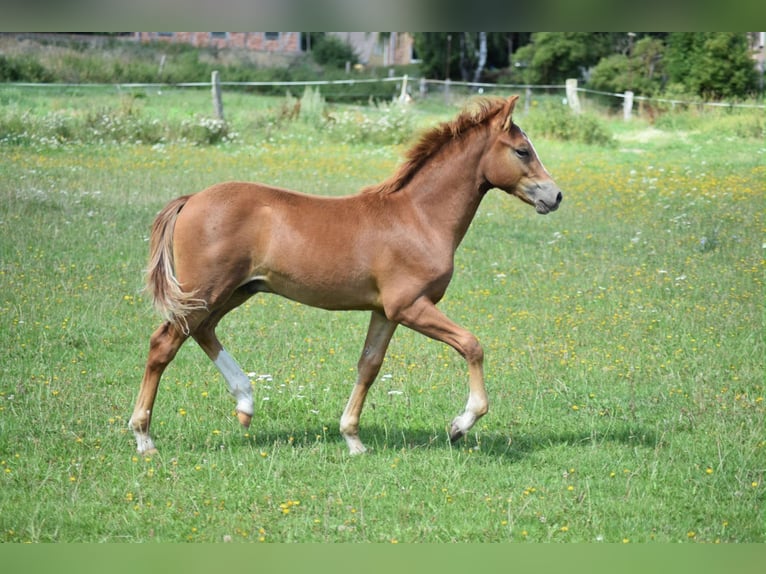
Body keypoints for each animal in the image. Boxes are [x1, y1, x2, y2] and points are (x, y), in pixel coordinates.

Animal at [129, 95, 562, 455]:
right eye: (522, 150)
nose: (555, 196)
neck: (419, 217)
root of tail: (191, 200)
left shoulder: (385, 312)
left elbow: (369, 366)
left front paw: (352, 438)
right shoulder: (410, 306)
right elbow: (472, 345)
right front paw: (460, 425)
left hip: (236, 291)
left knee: (202, 332)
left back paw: (245, 403)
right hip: (207, 290)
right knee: (164, 344)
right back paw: (144, 438)